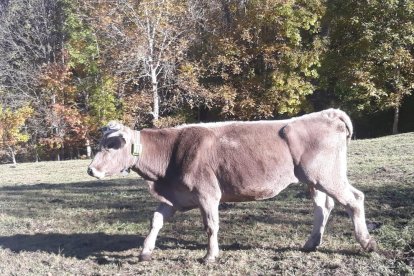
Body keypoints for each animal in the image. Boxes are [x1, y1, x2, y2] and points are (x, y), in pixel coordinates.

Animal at [89, 109, 376, 262]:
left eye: (111, 144)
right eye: (101, 142)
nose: (91, 169)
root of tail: (327, 113)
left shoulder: (207, 194)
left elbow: (210, 226)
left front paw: (210, 256)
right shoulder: (176, 197)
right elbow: (155, 220)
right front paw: (145, 252)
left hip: (326, 176)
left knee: (354, 199)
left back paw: (366, 243)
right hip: (314, 180)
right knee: (323, 206)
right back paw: (311, 243)